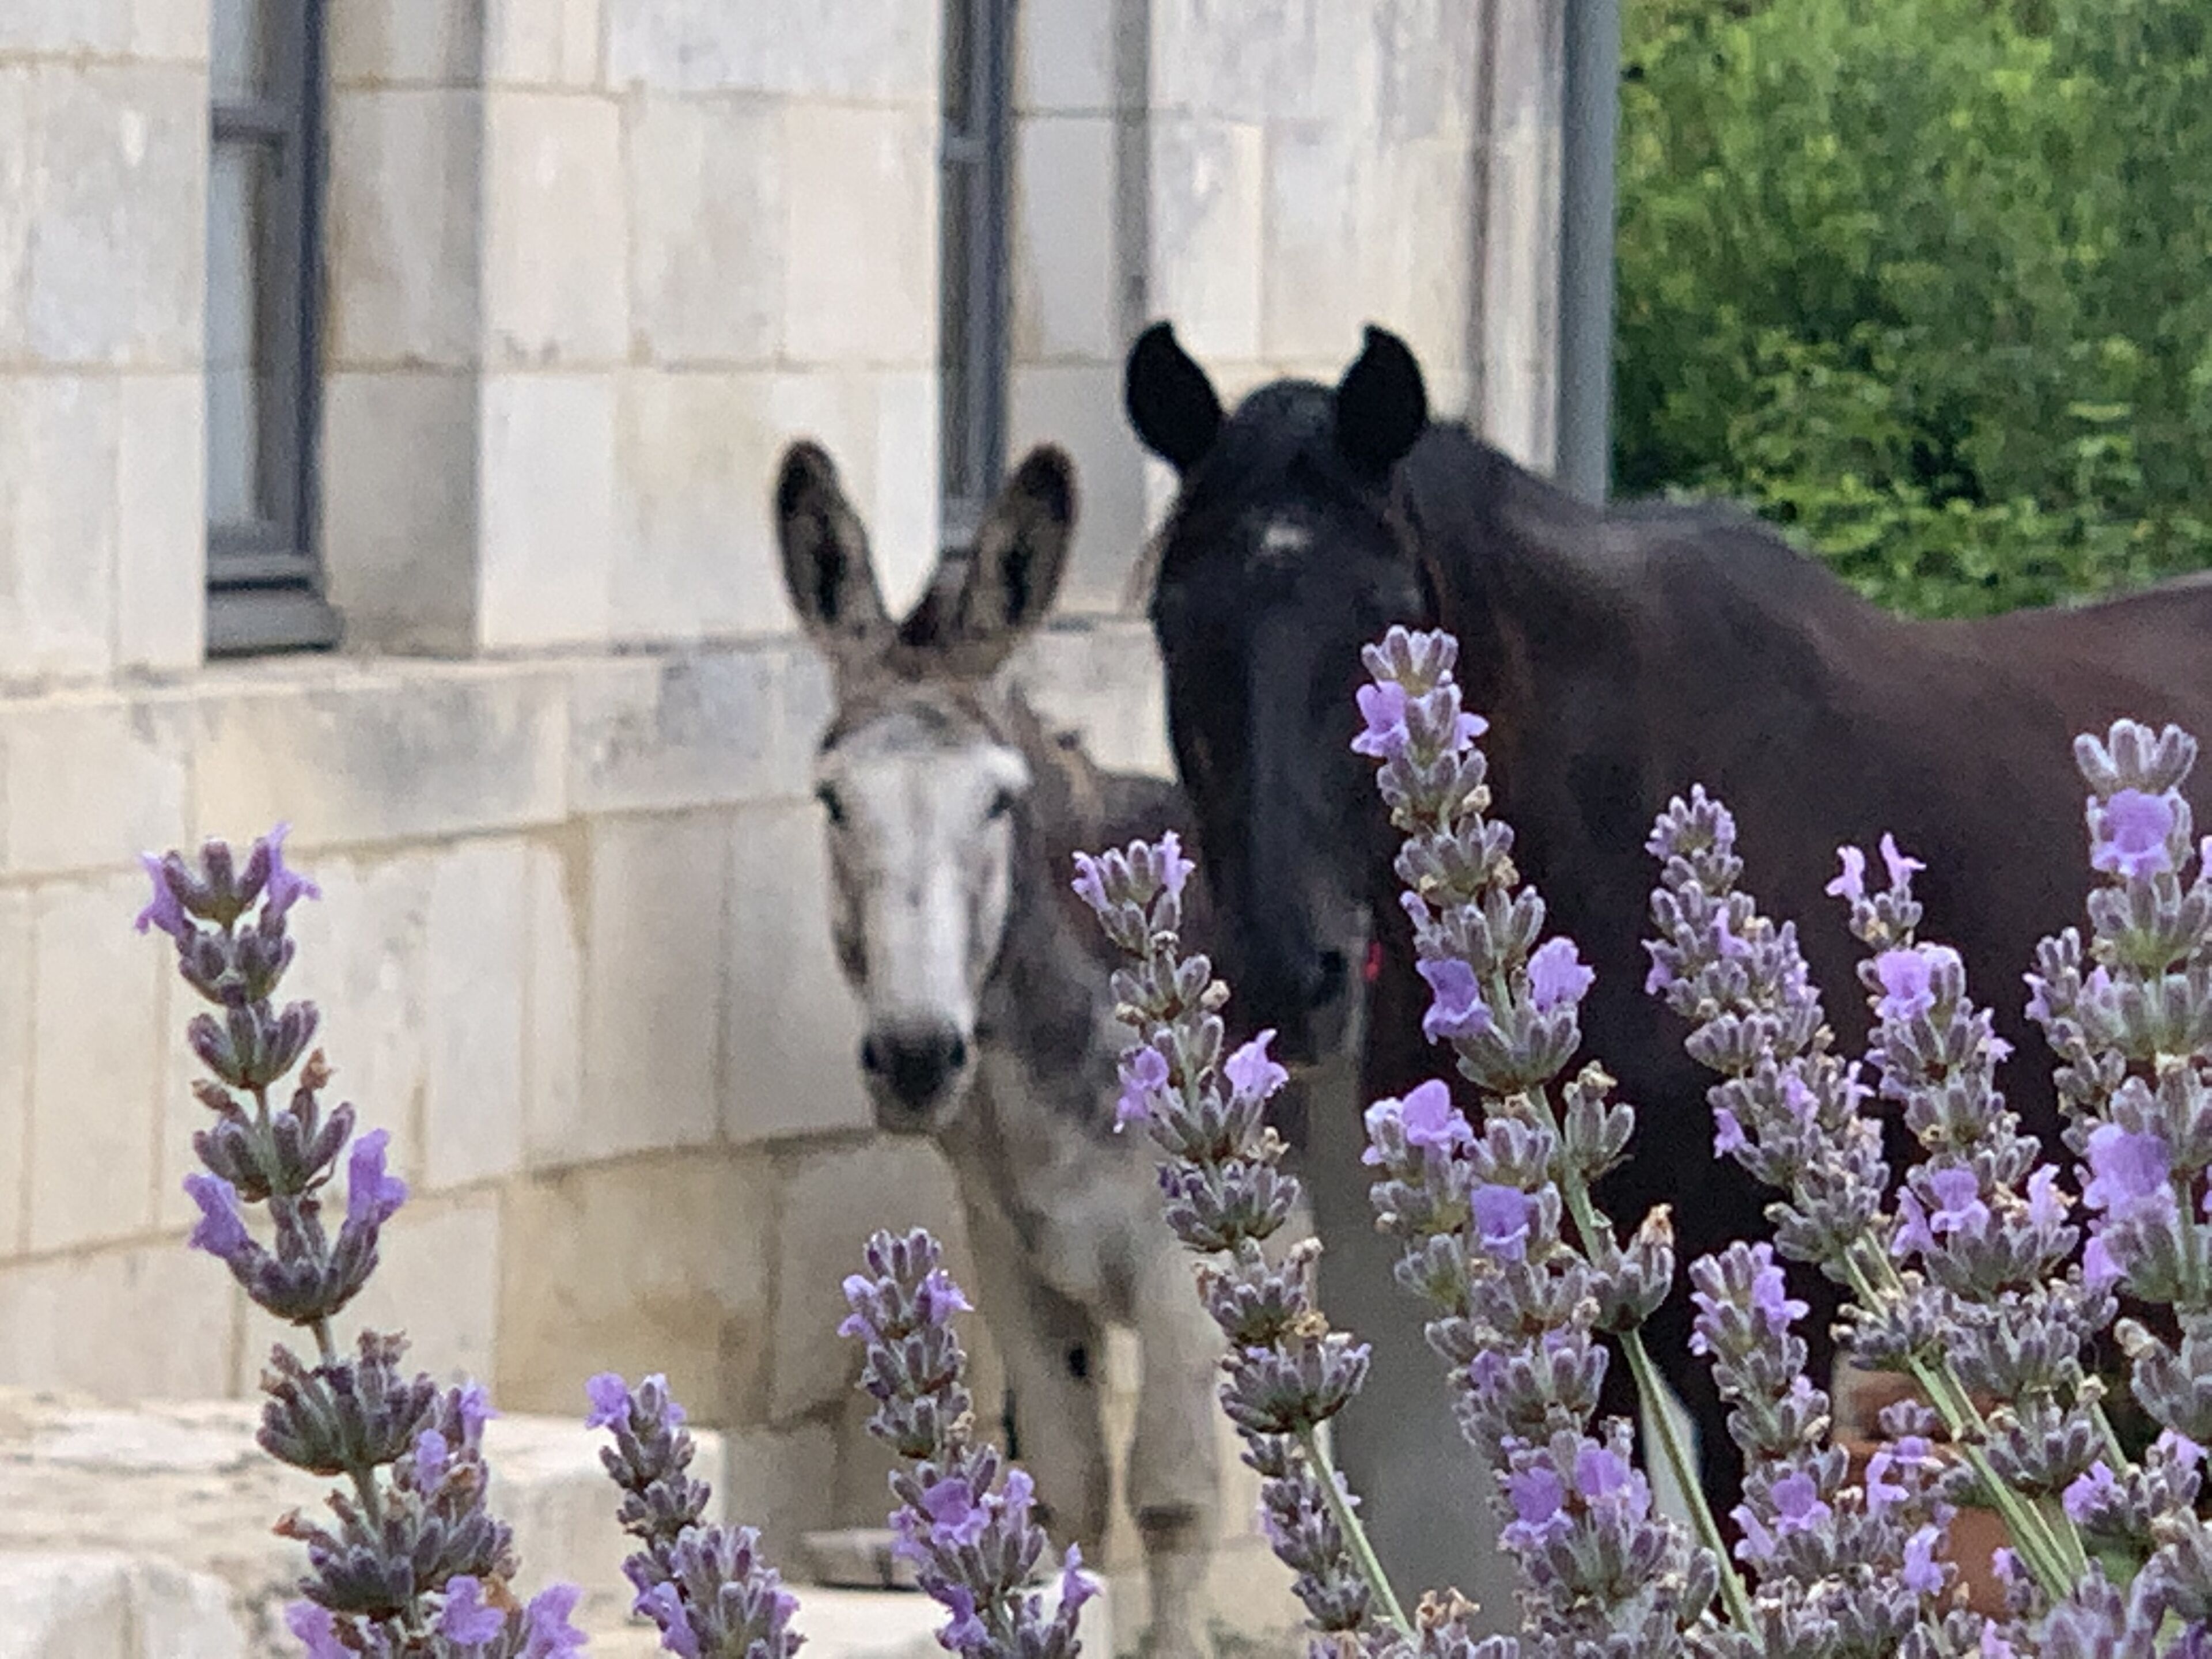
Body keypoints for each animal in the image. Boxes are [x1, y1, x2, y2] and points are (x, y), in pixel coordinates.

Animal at [773, 438, 1230, 1659]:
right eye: (832, 803)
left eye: (995, 805)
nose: (916, 1057)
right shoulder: (1017, 1260)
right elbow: (1067, 1494)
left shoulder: (1187, 1268)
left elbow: (1172, 1504)